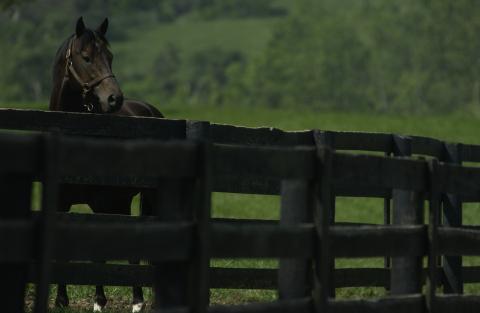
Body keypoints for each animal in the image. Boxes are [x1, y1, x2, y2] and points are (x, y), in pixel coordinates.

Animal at [49, 17, 162, 312]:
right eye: (86, 57)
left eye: (110, 56)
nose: (114, 98)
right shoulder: (60, 204)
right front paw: (61, 300)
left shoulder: (99, 204)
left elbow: (98, 255)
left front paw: (99, 302)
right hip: (121, 201)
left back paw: (138, 301)